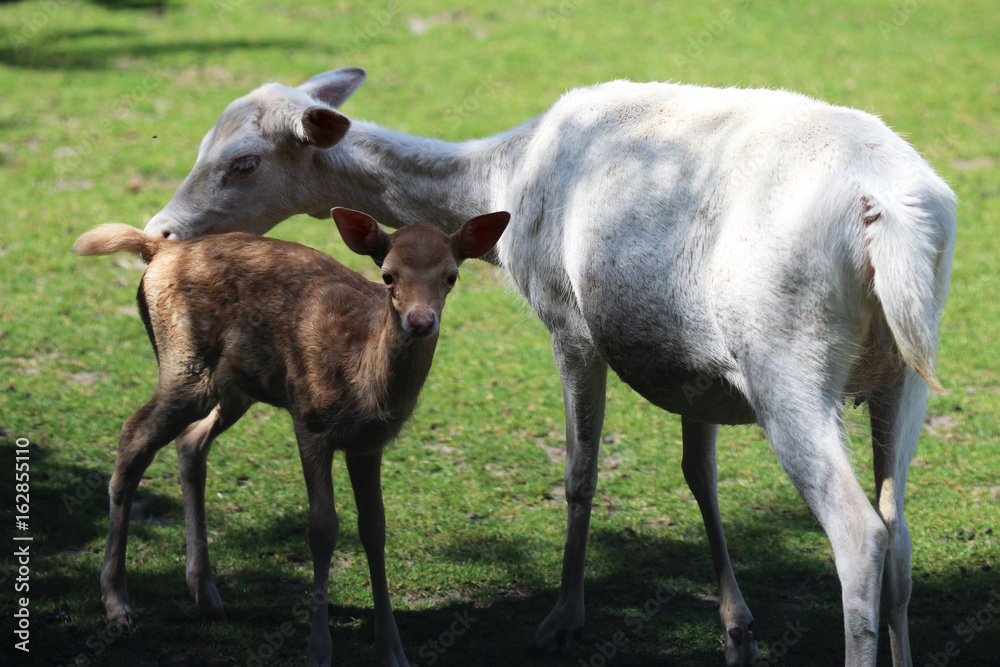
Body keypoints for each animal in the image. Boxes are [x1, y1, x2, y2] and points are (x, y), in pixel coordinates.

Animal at [73, 207, 510, 667]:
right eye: (388, 275)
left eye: (451, 276)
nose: (421, 321)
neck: (363, 380)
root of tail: (158, 250)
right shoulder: (309, 419)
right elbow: (322, 528)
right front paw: (318, 650)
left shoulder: (369, 443)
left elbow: (375, 529)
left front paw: (392, 650)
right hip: (184, 363)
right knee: (133, 435)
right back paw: (117, 603)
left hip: (235, 386)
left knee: (190, 441)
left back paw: (206, 594)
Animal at [138, 67, 956, 666]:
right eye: (204, 142)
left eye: (243, 163)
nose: (162, 231)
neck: (504, 180)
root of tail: (886, 210)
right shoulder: (695, 364)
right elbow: (700, 476)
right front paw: (735, 626)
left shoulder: (569, 319)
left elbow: (579, 470)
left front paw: (563, 619)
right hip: (906, 368)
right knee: (901, 534)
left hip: (787, 360)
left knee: (859, 533)